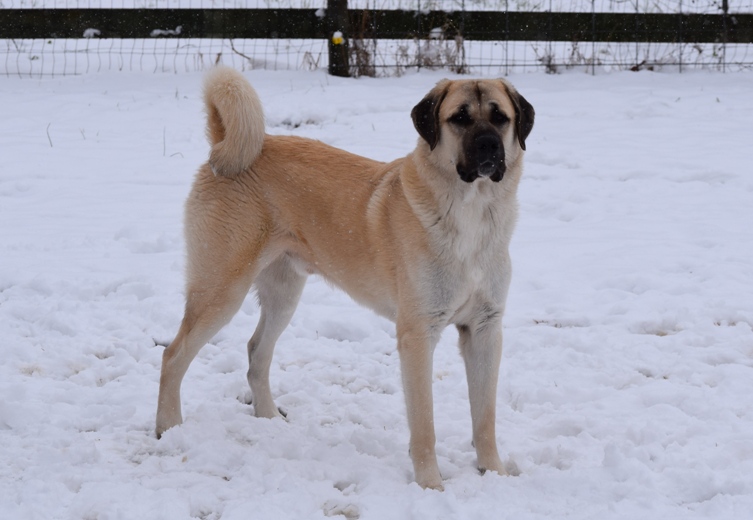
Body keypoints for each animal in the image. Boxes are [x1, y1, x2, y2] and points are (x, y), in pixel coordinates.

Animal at [157, 66, 536, 492]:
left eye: (501, 117)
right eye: (459, 118)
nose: (489, 146)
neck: (472, 213)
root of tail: (225, 142)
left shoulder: (485, 329)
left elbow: (485, 418)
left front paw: (495, 474)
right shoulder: (418, 334)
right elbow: (424, 423)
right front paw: (430, 486)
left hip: (284, 293)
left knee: (256, 352)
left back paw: (268, 419)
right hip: (221, 289)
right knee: (172, 355)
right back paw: (168, 430)